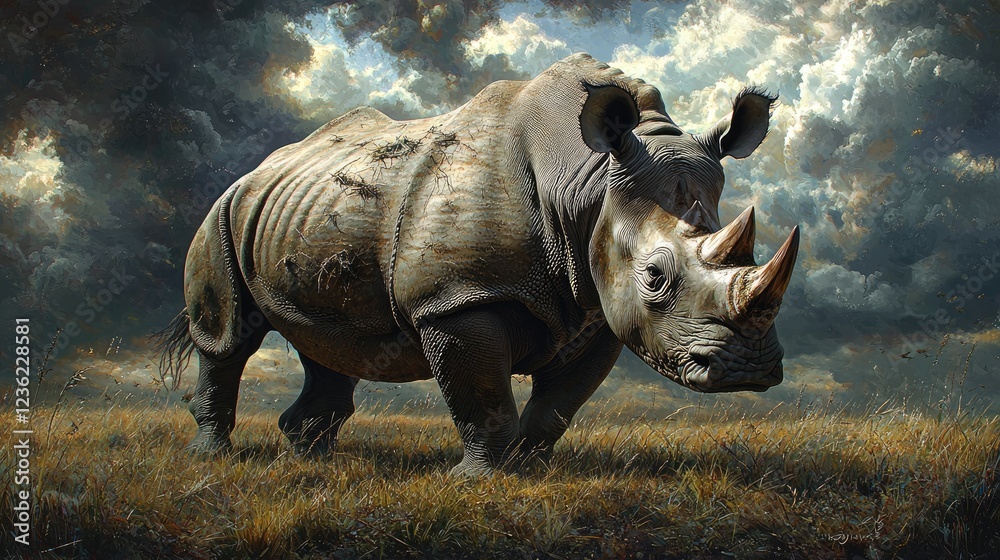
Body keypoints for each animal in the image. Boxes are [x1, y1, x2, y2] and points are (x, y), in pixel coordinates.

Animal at [156, 53, 799, 476]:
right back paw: (214, 459)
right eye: (656, 277)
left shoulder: (599, 311)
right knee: (227, 338)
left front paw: (530, 473)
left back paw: (311, 459)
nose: (750, 371)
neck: (587, 184)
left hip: (303, 213)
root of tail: (259, 168)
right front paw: (479, 481)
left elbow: (557, 406)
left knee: (330, 344)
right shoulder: (457, 295)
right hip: (221, 213)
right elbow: (483, 393)